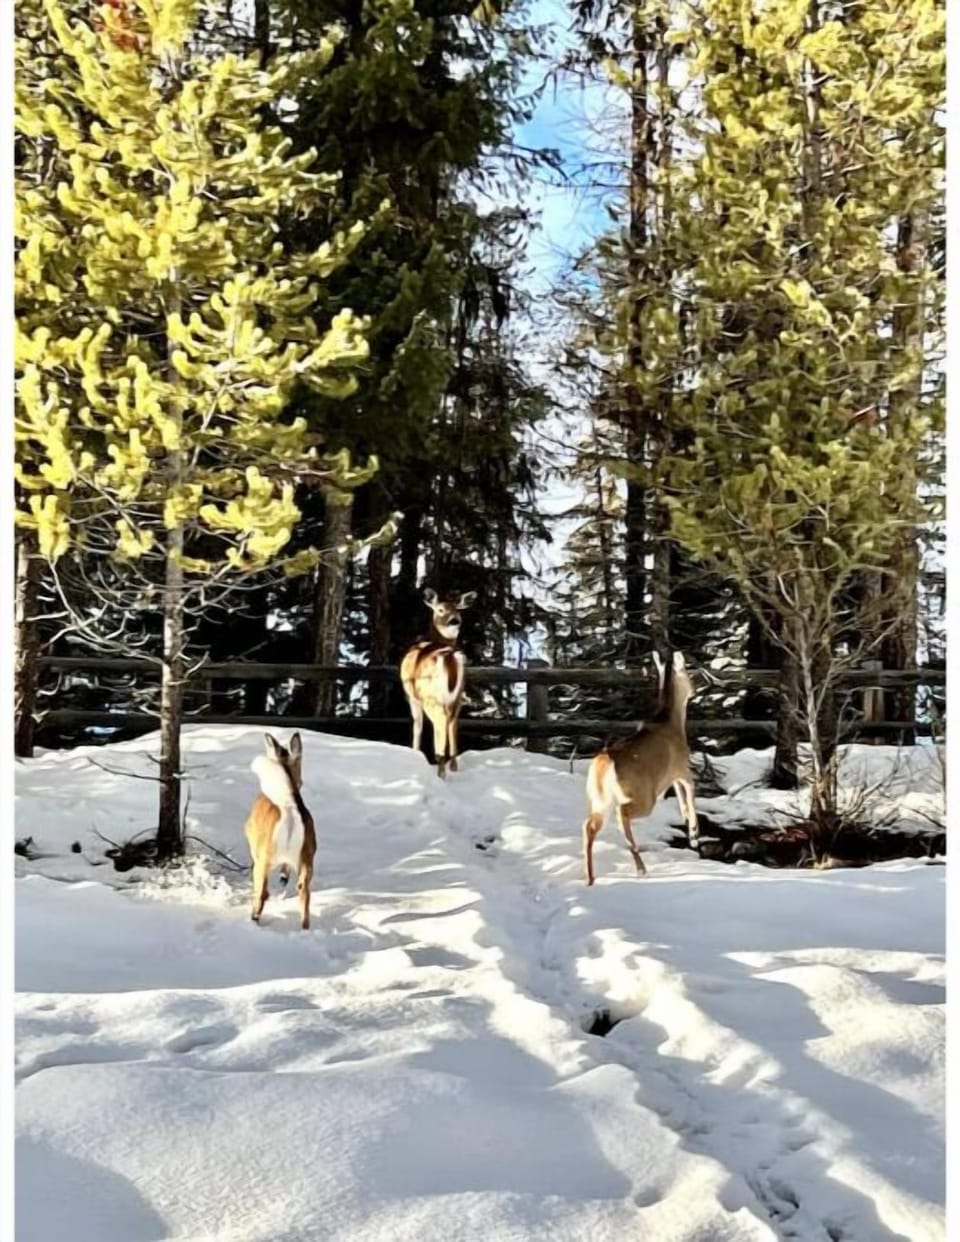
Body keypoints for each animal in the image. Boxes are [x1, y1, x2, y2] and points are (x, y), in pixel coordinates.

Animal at [245, 731, 316, 930]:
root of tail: (290, 817)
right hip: (307, 855)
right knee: (304, 891)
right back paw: (304, 928)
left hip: (265, 856)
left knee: (262, 893)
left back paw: (253, 920)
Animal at [400, 588, 477, 777]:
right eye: (441, 610)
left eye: (458, 609)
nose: (455, 620)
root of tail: (449, 656)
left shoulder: (412, 696)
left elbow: (417, 726)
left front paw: (415, 754)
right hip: (457, 696)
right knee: (453, 723)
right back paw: (452, 766)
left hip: (430, 696)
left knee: (440, 722)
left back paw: (440, 769)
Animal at [581, 650, 700, 886]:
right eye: (687, 671)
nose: (695, 688)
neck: (673, 721)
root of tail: (603, 764)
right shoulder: (682, 766)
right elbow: (691, 792)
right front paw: (693, 834)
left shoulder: (672, 776)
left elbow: (682, 799)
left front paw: (687, 825)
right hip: (643, 795)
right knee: (622, 812)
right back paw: (641, 868)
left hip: (599, 800)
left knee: (588, 826)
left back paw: (590, 877)